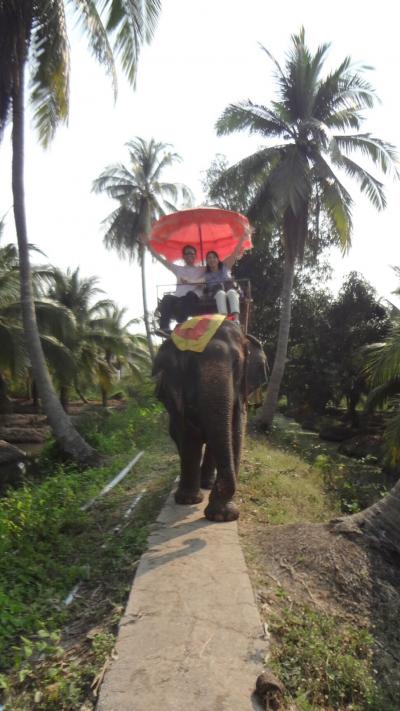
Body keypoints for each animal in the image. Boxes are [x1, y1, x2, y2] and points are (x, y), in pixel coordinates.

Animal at [152, 320, 268, 520]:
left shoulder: (242, 393)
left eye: (237, 363)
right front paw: (189, 501)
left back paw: (206, 483)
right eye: (191, 364)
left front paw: (222, 516)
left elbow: (235, 432)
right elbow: (189, 433)